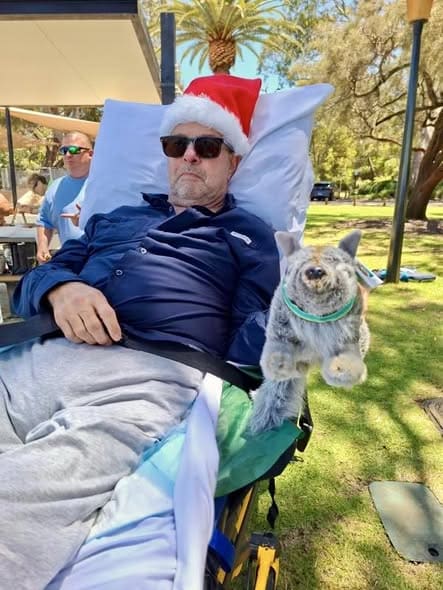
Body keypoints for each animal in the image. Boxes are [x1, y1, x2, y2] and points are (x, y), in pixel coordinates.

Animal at [249, 230, 370, 434]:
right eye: (298, 264)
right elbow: (278, 352)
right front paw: (277, 365)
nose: (315, 271)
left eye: (335, 261)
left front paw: (341, 371)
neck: (316, 315)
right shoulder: (282, 329)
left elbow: (346, 355)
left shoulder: (349, 335)